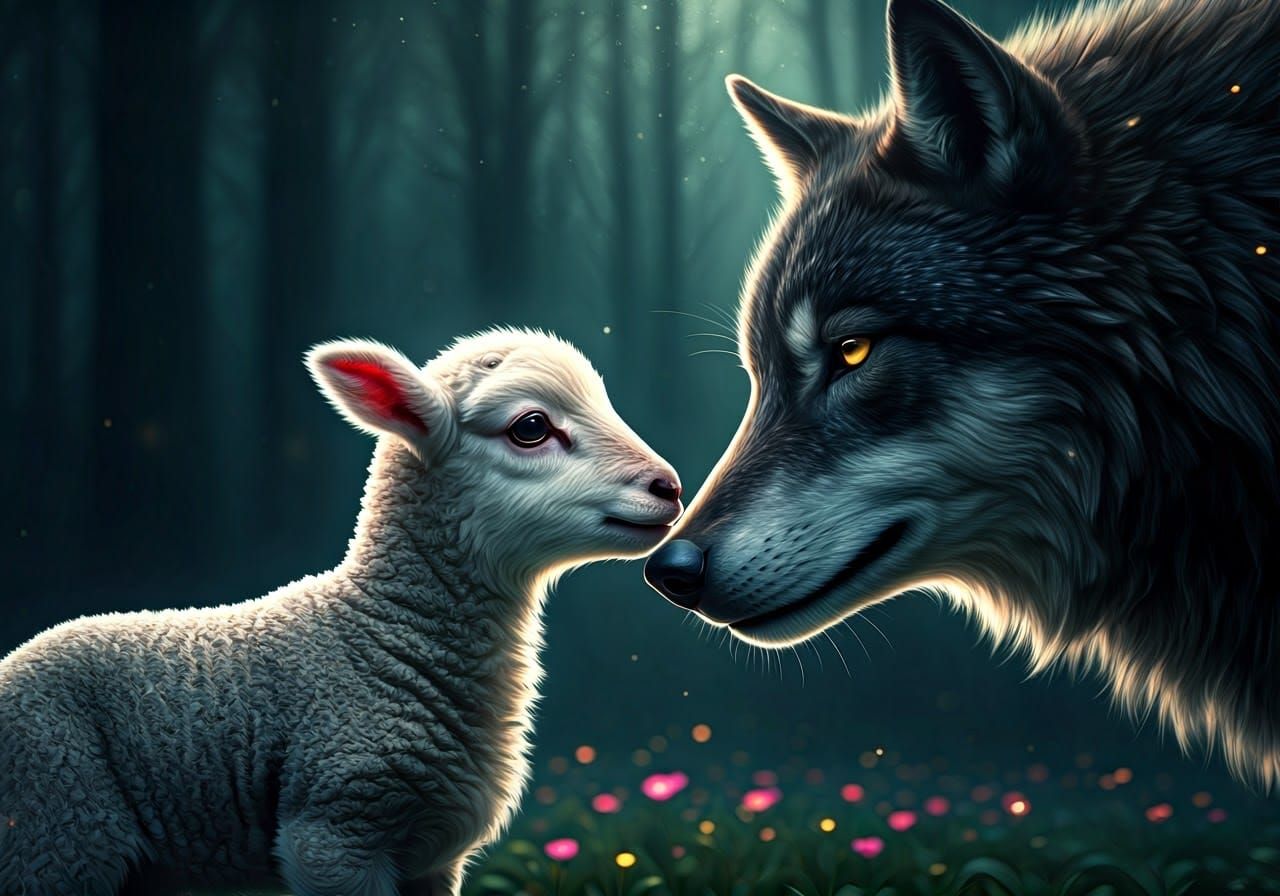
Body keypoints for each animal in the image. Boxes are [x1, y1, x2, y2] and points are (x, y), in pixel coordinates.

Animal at [0, 329, 683, 896]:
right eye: (531, 427)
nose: (670, 487)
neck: (377, 633)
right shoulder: (334, 830)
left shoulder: (432, 860)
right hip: (57, 832)